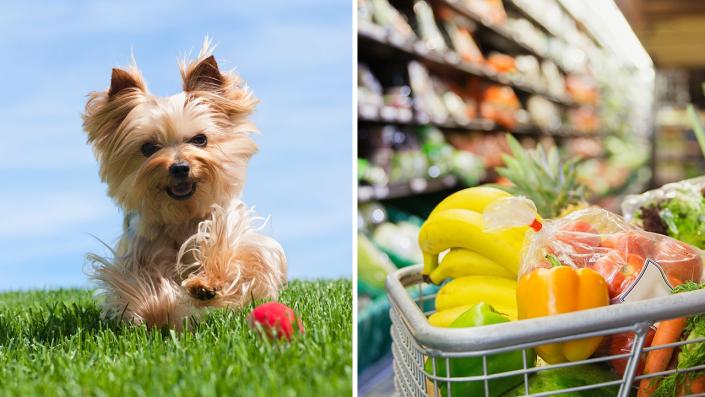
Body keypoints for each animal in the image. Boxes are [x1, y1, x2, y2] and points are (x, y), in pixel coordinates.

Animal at [84, 39, 288, 328]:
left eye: (200, 139)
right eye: (149, 148)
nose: (180, 167)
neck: (181, 215)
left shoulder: (233, 230)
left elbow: (237, 255)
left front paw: (206, 284)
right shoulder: (139, 253)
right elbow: (142, 286)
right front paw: (160, 310)